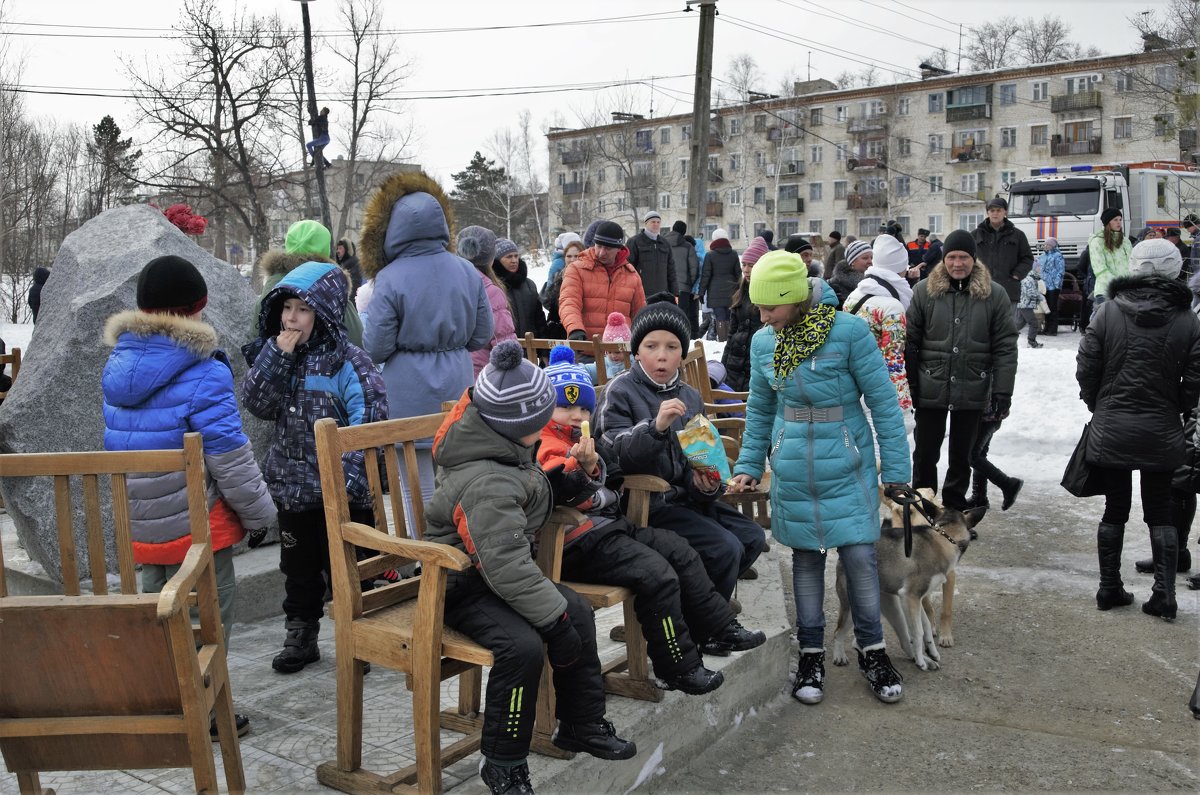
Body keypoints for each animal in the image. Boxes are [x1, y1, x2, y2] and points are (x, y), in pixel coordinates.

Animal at [835, 492, 984, 672]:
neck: (945, 537)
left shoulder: (917, 599)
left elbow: (926, 627)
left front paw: (931, 652)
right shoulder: (910, 596)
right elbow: (918, 632)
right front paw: (920, 660)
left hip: (891, 607)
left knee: (899, 640)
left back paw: (919, 658)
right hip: (853, 608)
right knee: (838, 633)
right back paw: (839, 656)